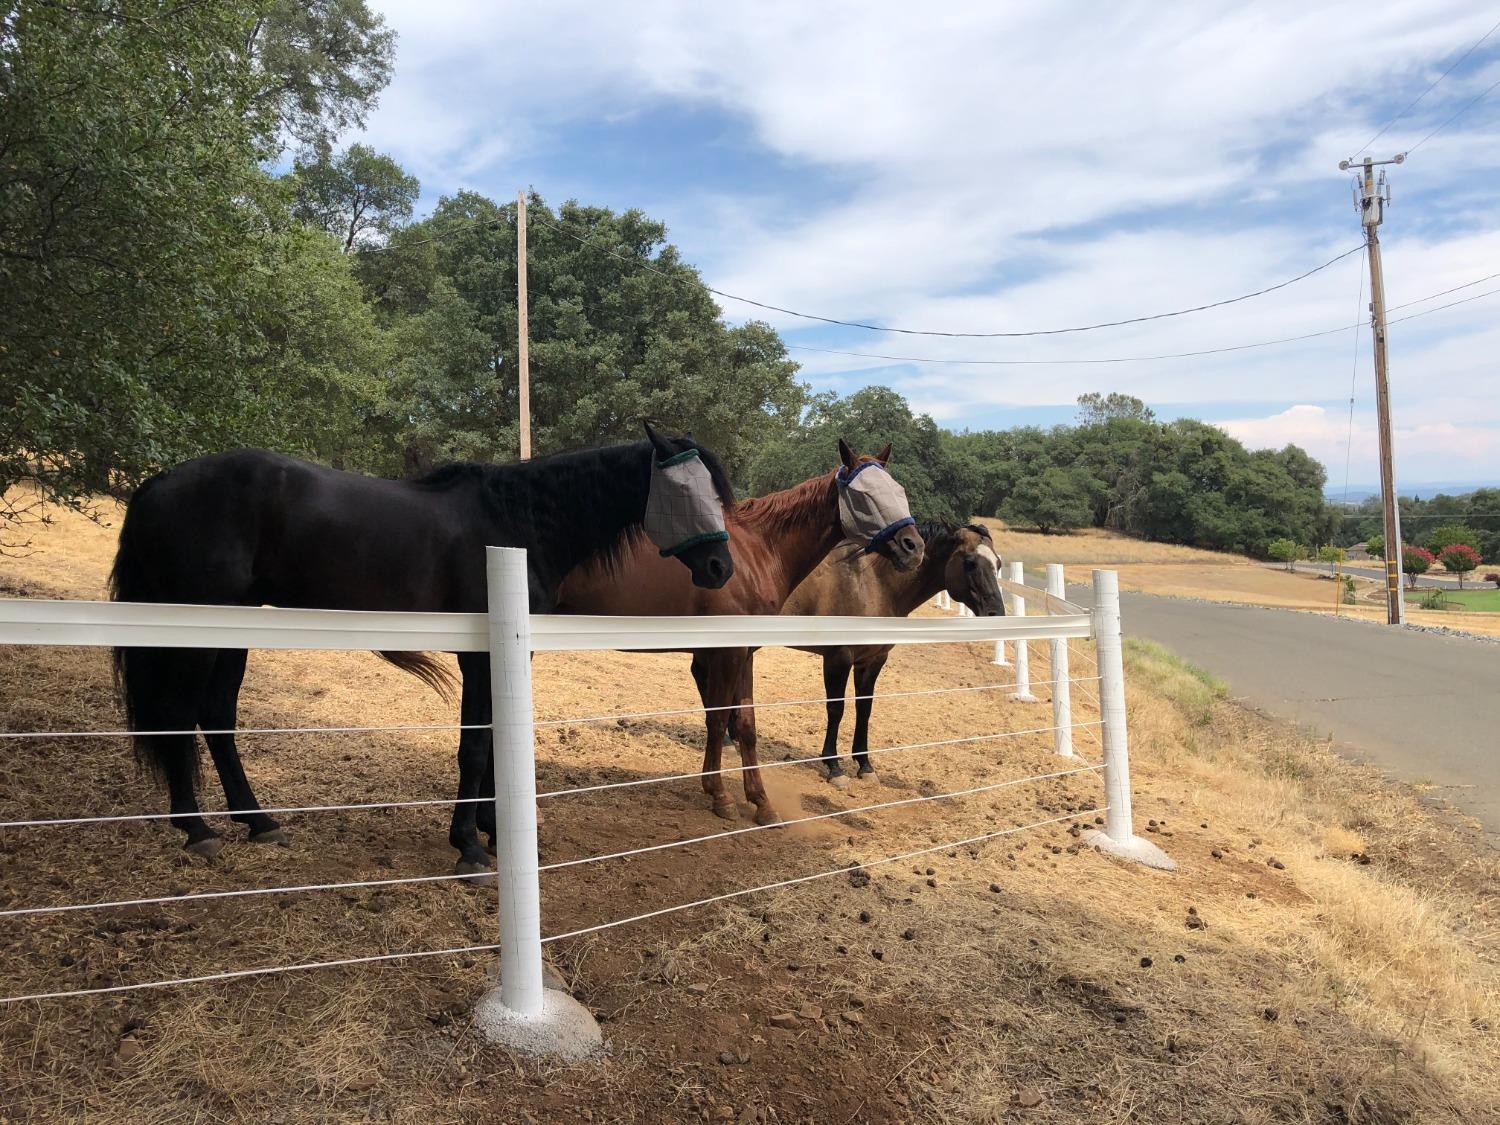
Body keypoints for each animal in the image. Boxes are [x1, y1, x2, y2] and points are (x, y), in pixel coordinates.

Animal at [109, 423, 732, 870]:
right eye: (680, 489)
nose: (720, 567)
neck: (515, 524)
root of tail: (157, 483)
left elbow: (491, 741)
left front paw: (491, 831)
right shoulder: (479, 656)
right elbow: (475, 747)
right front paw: (470, 845)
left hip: (232, 627)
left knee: (216, 716)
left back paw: (259, 822)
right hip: (193, 633)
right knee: (176, 716)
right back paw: (197, 830)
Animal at [555, 444, 918, 828]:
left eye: (899, 490)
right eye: (864, 496)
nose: (914, 546)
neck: (756, 551)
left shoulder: (745, 652)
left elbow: (745, 724)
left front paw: (761, 803)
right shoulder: (727, 651)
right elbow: (717, 719)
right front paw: (720, 796)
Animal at [780, 519, 1002, 786]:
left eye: (998, 564)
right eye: (970, 562)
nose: (997, 613)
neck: (872, 584)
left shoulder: (872, 660)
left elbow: (865, 708)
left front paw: (865, 766)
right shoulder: (838, 658)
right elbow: (836, 709)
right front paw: (834, 767)